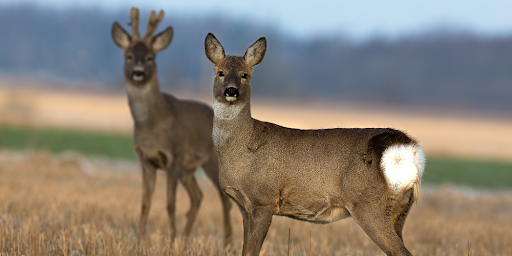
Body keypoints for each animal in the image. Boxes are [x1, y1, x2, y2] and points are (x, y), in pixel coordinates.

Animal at [111, 8, 232, 244]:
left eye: (150, 57)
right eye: (129, 56)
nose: (138, 71)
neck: (152, 123)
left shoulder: (173, 158)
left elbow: (170, 204)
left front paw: (170, 241)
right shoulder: (146, 161)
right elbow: (145, 204)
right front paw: (141, 240)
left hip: (211, 162)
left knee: (225, 200)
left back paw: (227, 244)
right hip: (188, 169)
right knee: (198, 197)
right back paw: (185, 239)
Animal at [204, 33, 424, 255]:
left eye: (245, 75)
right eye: (221, 72)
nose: (231, 91)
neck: (242, 145)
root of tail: (407, 148)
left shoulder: (263, 200)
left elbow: (251, 251)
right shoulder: (244, 207)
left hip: (369, 205)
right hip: (400, 209)